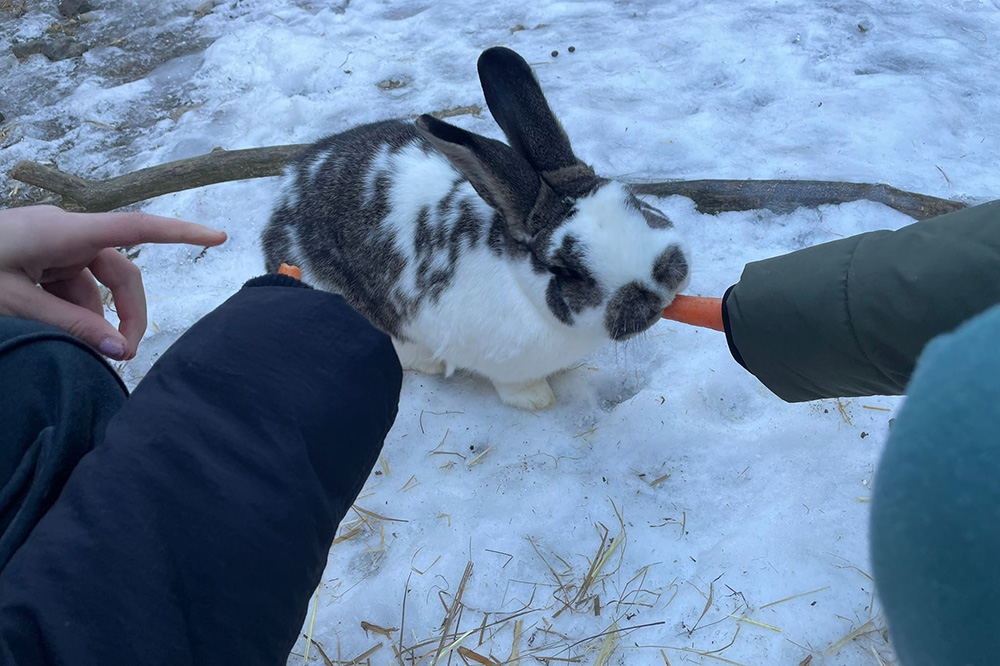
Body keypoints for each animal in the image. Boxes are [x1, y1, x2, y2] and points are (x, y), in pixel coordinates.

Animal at [262, 46, 690, 411]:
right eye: (567, 271)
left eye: (633, 200)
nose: (658, 287)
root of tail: (282, 200)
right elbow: (516, 387)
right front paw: (538, 400)